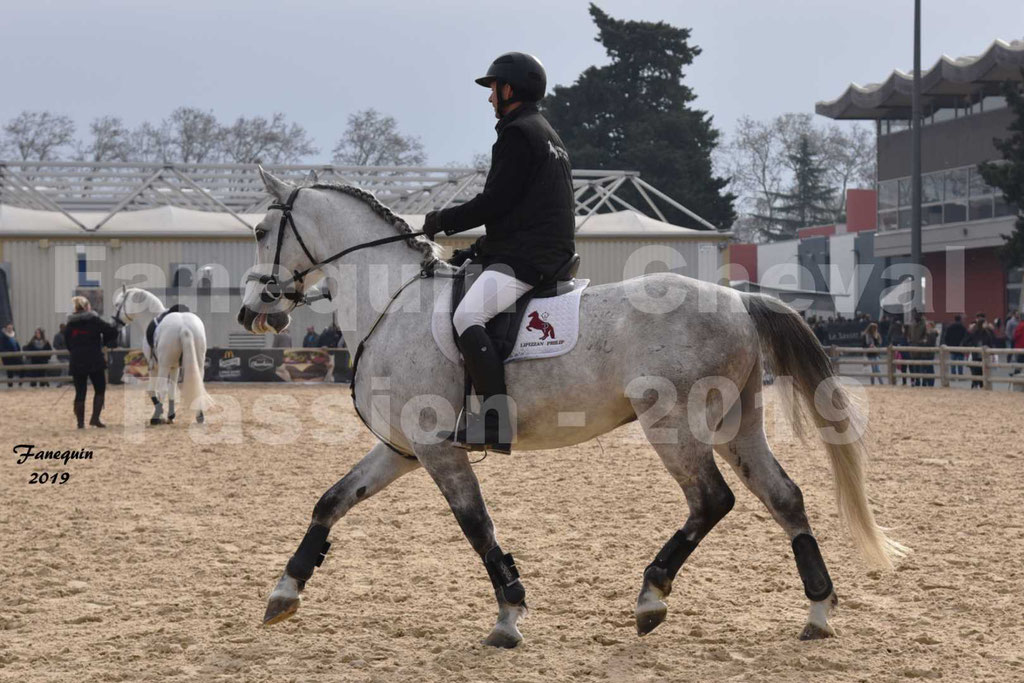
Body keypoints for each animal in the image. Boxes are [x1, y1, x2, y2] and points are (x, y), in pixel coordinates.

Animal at [112, 286, 211, 423]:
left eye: (117, 304)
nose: (114, 324)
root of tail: (184, 327)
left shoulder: (154, 366)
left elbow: (153, 390)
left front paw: (161, 414)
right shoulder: (175, 367)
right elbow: (172, 389)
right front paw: (171, 415)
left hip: (164, 366)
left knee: (162, 389)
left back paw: (155, 418)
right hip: (198, 365)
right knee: (198, 386)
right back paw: (199, 416)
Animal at [237, 167, 905, 651]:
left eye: (260, 231)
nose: (252, 312)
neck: (393, 301)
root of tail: (740, 302)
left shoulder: (436, 449)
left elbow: (478, 526)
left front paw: (509, 618)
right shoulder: (402, 448)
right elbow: (331, 502)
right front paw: (284, 592)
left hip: (674, 426)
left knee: (711, 500)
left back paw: (651, 598)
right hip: (737, 427)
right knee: (784, 497)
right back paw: (818, 611)